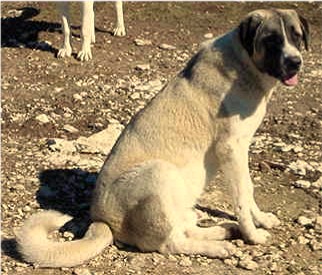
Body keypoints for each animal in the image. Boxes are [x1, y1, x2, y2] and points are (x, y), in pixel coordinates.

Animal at [17, 8, 310, 268]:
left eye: (296, 36)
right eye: (272, 40)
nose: (295, 61)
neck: (243, 64)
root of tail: (100, 220)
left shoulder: (241, 149)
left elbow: (249, 192)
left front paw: (261, 220)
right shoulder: (232, 150)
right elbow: (242, 195)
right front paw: (253, 234)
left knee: (184, 228)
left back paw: (221, 231)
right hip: (159, 172)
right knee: (170, 244)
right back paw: (217, 247)